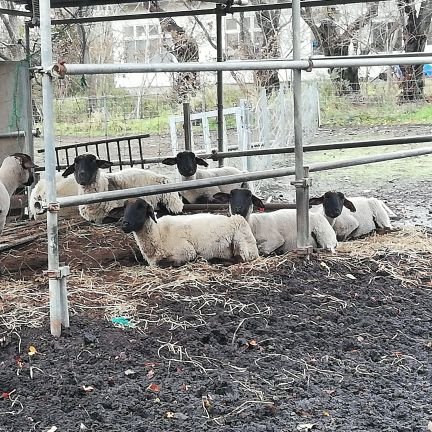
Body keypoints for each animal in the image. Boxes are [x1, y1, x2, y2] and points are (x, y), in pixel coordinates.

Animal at [120, 198, 258, 266]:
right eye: (124, 207)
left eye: (141, 207)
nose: (124, 224)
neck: (158, 234)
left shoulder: (187, 251)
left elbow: (163, 263)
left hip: (241, 240)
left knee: (241, 258)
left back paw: (215, 260)